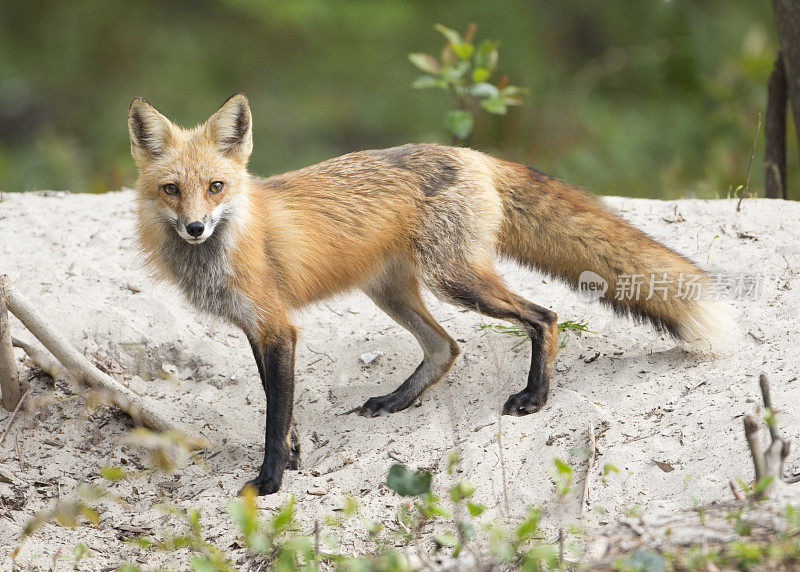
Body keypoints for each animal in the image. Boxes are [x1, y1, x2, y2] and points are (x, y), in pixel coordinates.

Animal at [128, 95, 736, 496]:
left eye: (216, 187)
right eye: (171, 190)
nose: (195, 228)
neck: (230, 240)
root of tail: (471, 153)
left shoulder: (278, 327)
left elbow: (276, 417)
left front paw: (272, 479)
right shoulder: (261, 329)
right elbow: (284, 408)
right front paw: (296, 458)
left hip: (454, 280)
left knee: (544, 315)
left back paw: (534, 398)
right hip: (392, 291)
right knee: (446, 347)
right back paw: (397, 401)